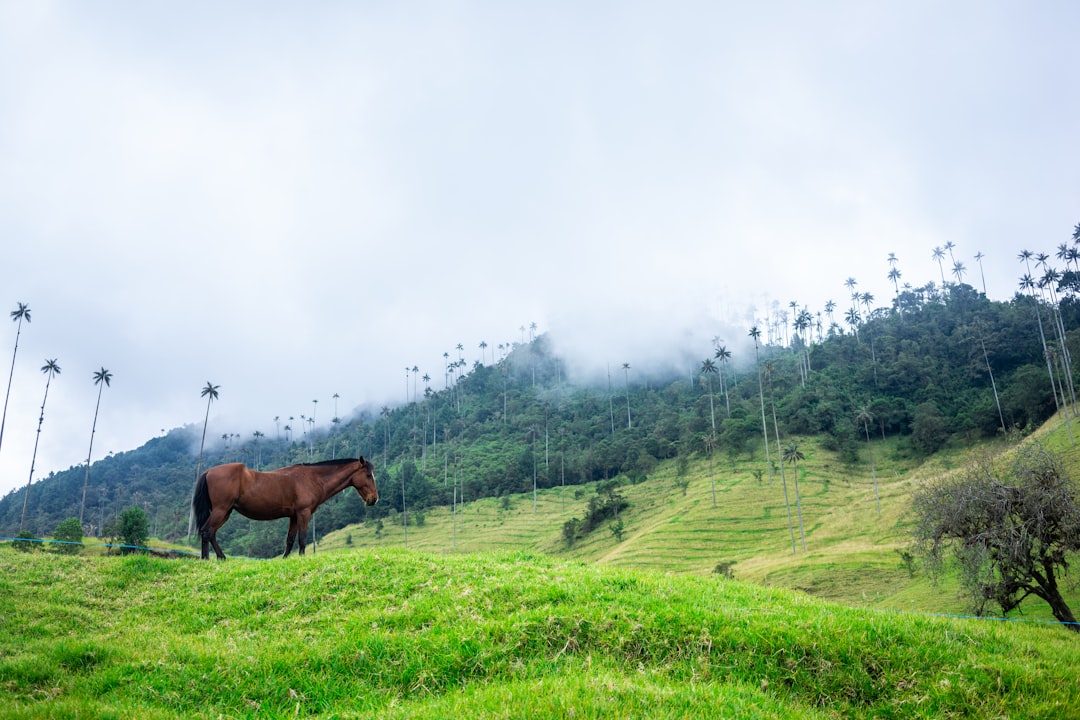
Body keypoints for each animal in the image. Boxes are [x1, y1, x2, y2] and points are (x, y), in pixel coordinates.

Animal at [192, 459, 378, 561]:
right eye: (368, 475)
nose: (374, 499)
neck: (313, 478)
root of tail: (208, 472)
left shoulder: (294, 516)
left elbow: (290, 540)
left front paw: (285, 558)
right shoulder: (303, 513)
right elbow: (302, 539)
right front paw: (301, 558)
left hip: (225, 512)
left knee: (210, 532)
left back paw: (218, 557)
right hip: (221, 510)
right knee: (207, 531)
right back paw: (208, 558)